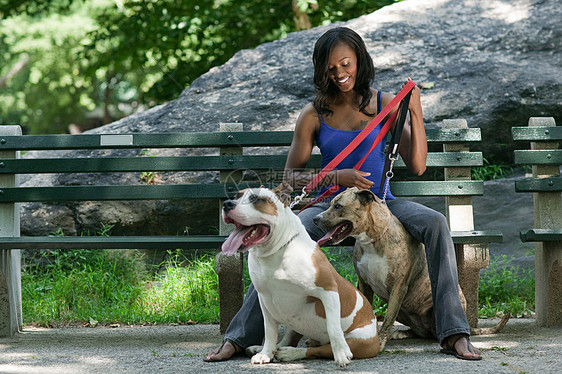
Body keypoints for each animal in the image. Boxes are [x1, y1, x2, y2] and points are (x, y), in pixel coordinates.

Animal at [221, 184, 378, 366]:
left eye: (256, 198)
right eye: (236, 196)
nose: (227, 204)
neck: (276, 251)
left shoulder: (328, 290)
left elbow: (333, 327)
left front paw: (341, 353)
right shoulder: (264, 299)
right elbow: (270, 331)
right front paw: (265, 353)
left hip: (359, 340)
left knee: (320, 349)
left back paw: (291, 353)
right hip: (294, 321)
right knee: (291, 338)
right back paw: (267, 349)